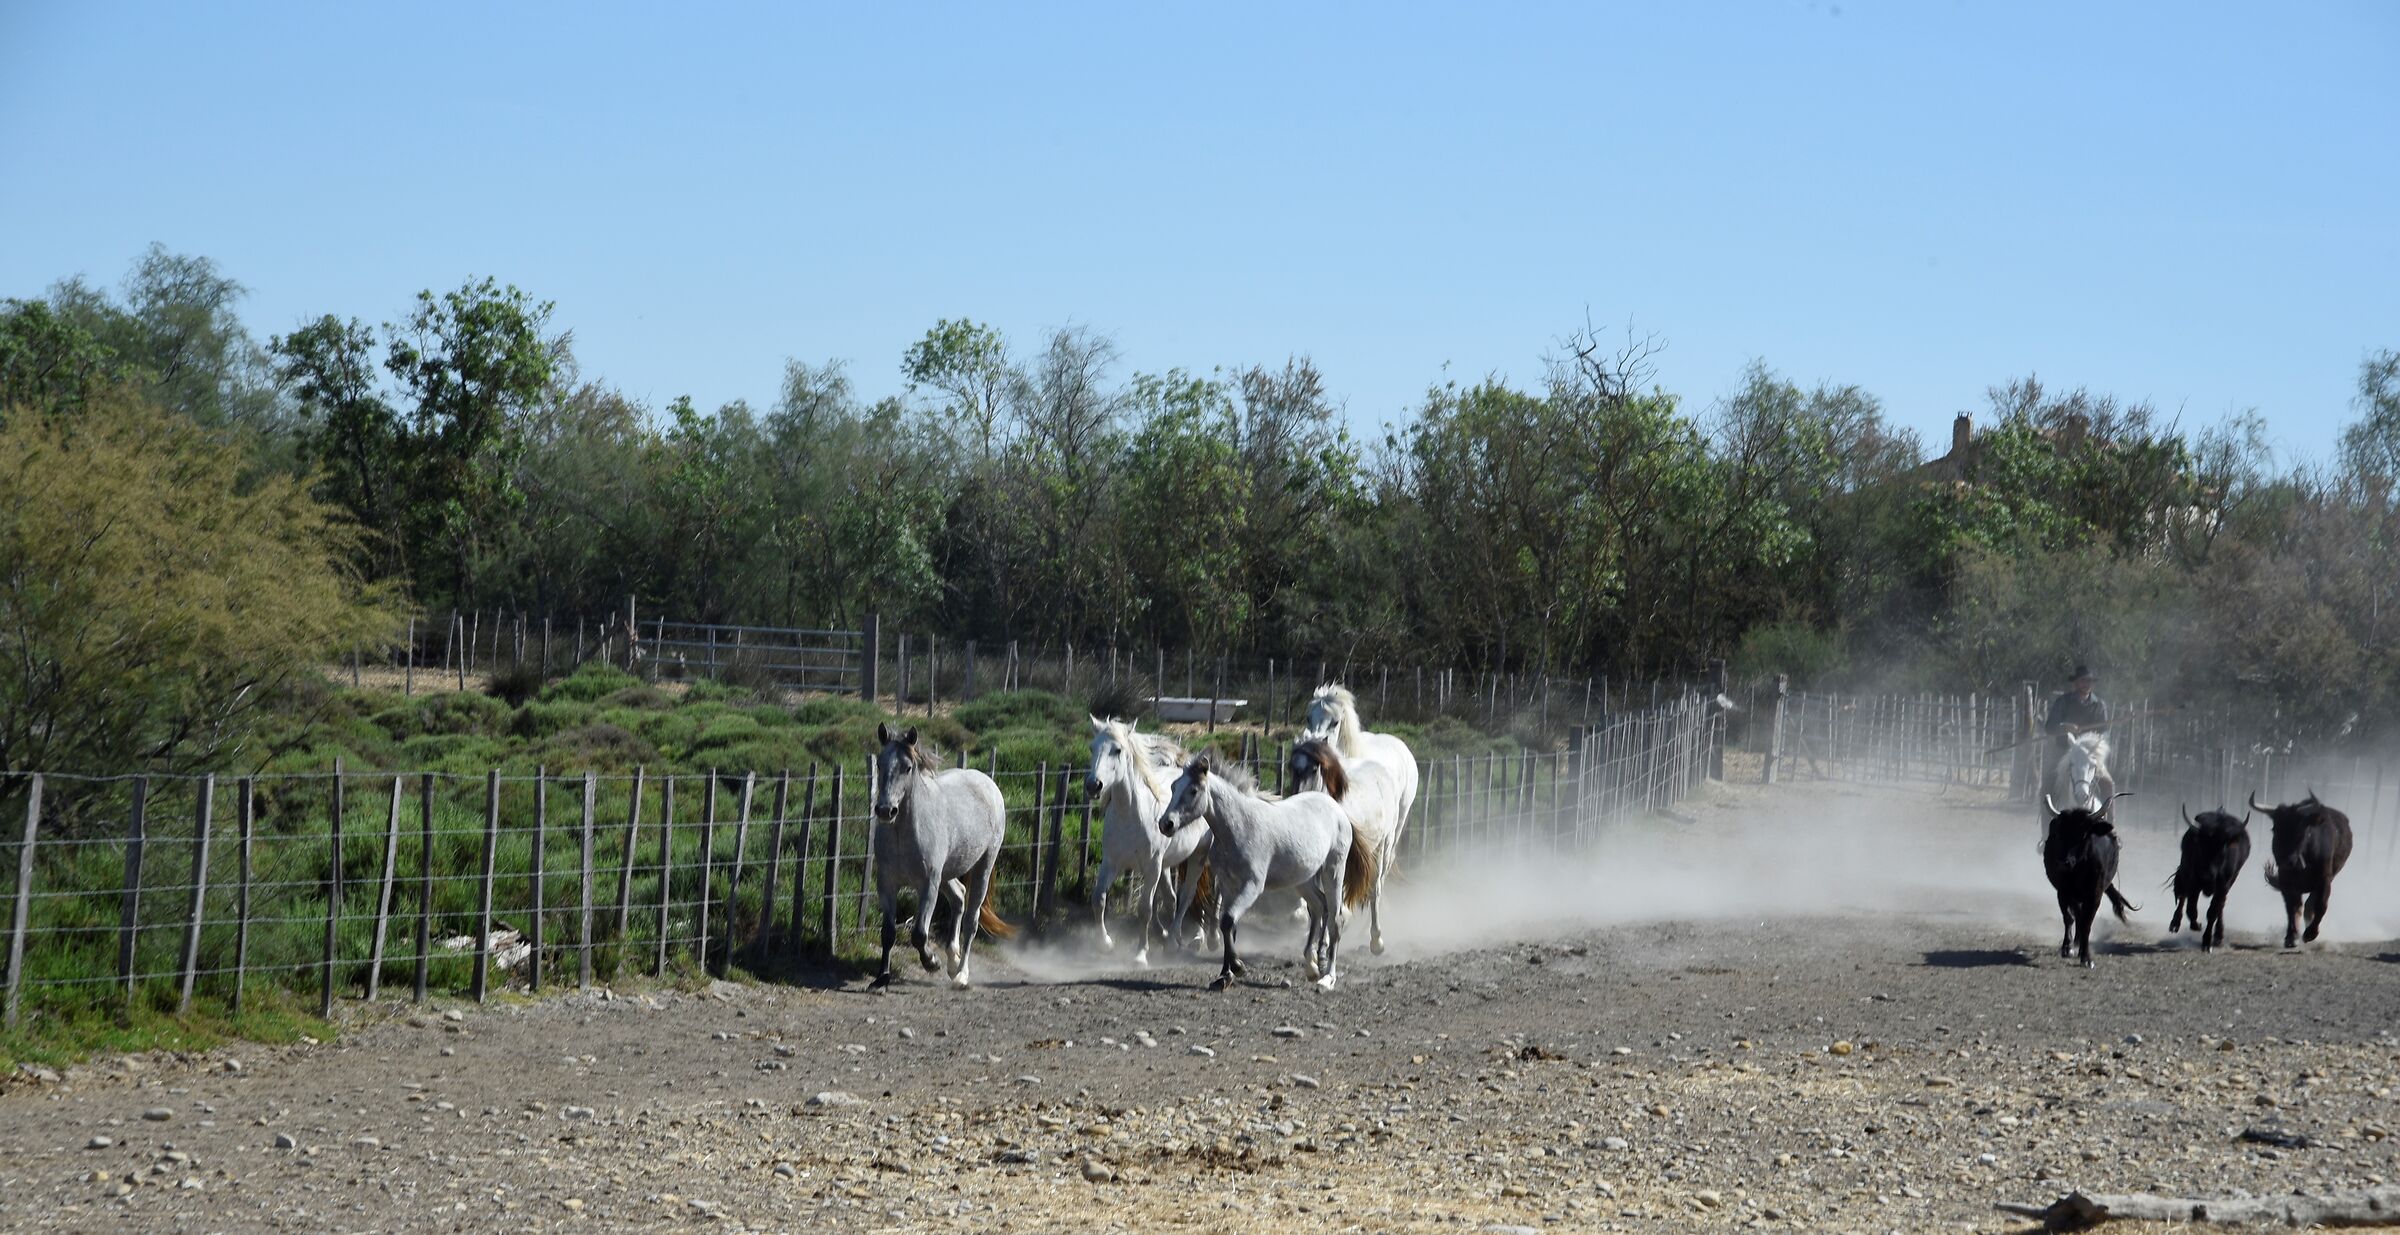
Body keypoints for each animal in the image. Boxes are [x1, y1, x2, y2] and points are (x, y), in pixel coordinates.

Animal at [869, 723, 1014, 988]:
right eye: (880, 764)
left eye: (907, 767)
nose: (885, 810)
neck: (903, 834)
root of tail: (988, 783)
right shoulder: (886, 882)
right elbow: (888, 933)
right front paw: (881, 978)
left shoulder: (928, 884)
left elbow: (919, 934)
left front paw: (931, 962)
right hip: (947, 873)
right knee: (959, 897)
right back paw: (952, 960)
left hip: (982, 866)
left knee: (971, 919)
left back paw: (961, 975)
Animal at [1085, 716, 1213, 965]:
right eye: (1092, 748)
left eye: (1117, 750)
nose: (1093, 785)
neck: (1131, 816)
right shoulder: (1112, 863)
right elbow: (1098, 899)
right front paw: (1105, 944)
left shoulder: (1152, 866)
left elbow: (1145, 909)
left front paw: (1140, 954)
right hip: (1168, 864)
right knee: (1173, 899)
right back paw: (1172, 938)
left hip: (1199, 856)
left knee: (1189, 895)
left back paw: (1191, 940)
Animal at [1159, 753, 1373, 991]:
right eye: (1174, 786)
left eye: (1193, 790)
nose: (1166, 824)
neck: (1239, 826)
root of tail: (1337, 810)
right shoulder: (1228, 884)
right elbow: (1228, 926)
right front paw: (1225, 976)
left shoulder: (1252, 885)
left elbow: (1228, 920)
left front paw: (1238, 968)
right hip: (1302, 878)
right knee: (1318, 906)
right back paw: (1311, 965)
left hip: (1333, 870)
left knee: (1335, 919)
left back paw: (1327, 978)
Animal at [1285, 736, 1399, 955]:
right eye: (1290, 767)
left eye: (1314, 769)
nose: (1297, 797)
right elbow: (1318, 904)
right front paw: (1316, 945)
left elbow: (1333, 902)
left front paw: (1324, 945)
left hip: (1381, 848)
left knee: (1374, 890)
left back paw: (1376, 941)